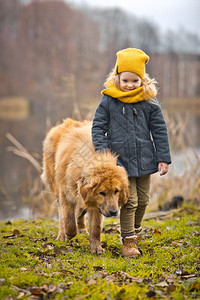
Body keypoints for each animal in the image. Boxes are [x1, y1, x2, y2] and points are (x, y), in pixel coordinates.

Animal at [41, 118, 129, 253]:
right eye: (102, 193)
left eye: (116, 191)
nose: (114, 212)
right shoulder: (66, 194)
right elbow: (68, 220)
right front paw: (69, 234)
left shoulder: (96, 205)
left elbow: (95, 227)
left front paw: (96, 247)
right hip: (56, 187)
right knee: (62, 215)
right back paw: (62, 235)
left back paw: (82, 229)